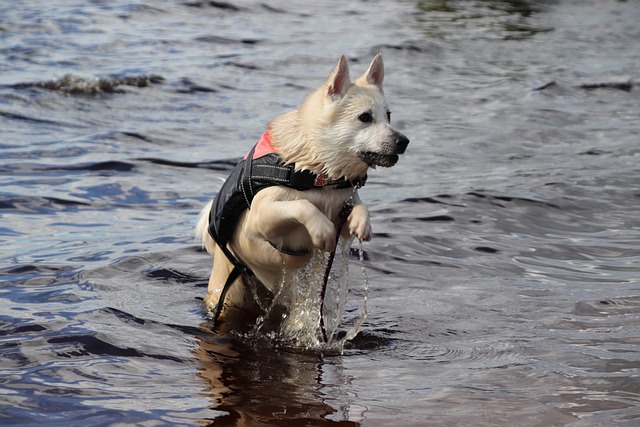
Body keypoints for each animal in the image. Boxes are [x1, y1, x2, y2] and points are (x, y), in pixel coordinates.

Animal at [195, 54, 410, 334]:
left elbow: (358, 207)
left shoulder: (342, 208)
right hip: (231, 293)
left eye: (388, 115)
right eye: (365, 117)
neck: (318, 173)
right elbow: (303, 206)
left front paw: (363, 223)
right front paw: (321, 230)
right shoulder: (259, 219)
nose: (404, 141)